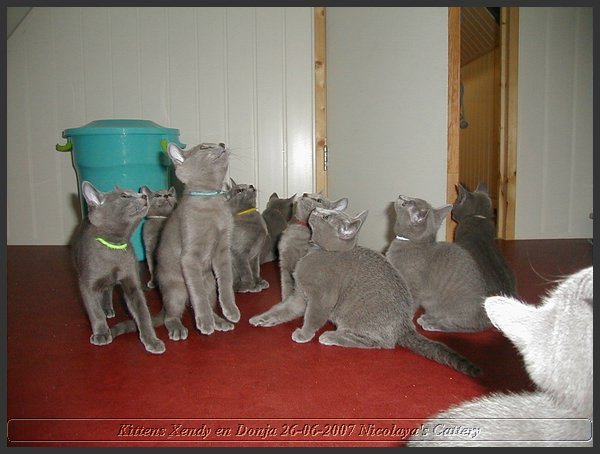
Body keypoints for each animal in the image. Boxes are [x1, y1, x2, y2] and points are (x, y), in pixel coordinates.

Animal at [73, 181, 166, 354]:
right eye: (124, 196)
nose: (144, 195)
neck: (114, 245)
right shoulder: (86, 284)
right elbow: (94, 310)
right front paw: (101, 333)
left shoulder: (132, 284)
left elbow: (143, 312)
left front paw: (151, 340)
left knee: (108, 289)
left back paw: (108, 308)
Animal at [251, 207, 480, 378]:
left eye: (327, 216)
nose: (315, 209)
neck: (316, 252)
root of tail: (405, 325)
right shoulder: (299, 296)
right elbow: (282, 309)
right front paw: (261, 318)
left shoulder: (320, 298)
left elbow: (312, 317)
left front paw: (303, 334)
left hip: (355, 316)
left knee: (379, 343)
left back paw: (332, 336)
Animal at [384, 195, 492, 334]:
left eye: (405, 203)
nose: (400, 196)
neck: (413, 243)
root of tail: (485, 319)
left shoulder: (413, 286)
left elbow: (411, 303)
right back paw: (428, 317)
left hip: (459, 312)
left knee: (460, 326)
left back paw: (433, 323)